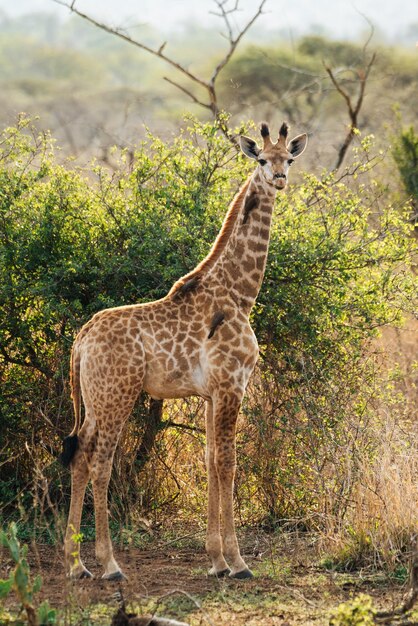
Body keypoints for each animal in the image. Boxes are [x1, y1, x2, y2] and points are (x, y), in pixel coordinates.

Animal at [61, 122, 306, 580]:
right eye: (262, 160)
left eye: (289, 159)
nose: (280, 179)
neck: (240, 294)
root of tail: (81, 340)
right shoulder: (232, 385)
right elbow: (228, 462)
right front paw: (239, 562)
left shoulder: (210, 393)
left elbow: (210, 461)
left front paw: (216, 561)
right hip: (117, 397)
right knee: (102, 464)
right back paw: (110, 565)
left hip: (93, 401)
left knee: (80, 457)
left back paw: (75, 565)